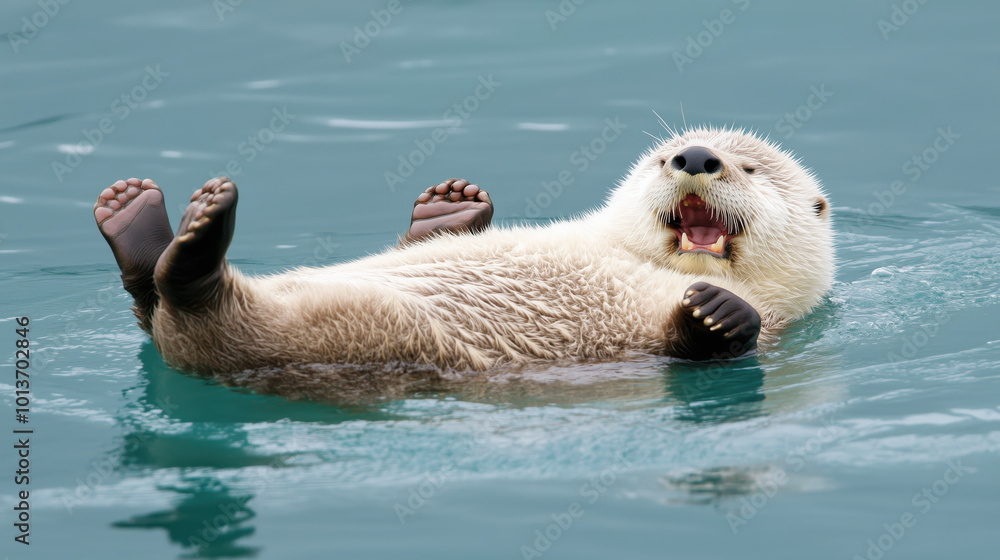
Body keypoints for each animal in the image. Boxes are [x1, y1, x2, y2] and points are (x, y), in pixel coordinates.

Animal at [94, 127, 833, 374]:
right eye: (662, 158)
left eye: (751, 169)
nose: (697, 156)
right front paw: (449, 207)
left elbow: (706, 339)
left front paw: (717, 311)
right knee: (152, 302)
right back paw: (139, 219)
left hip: (345, 331)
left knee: (191, 309)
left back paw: (192, 238)